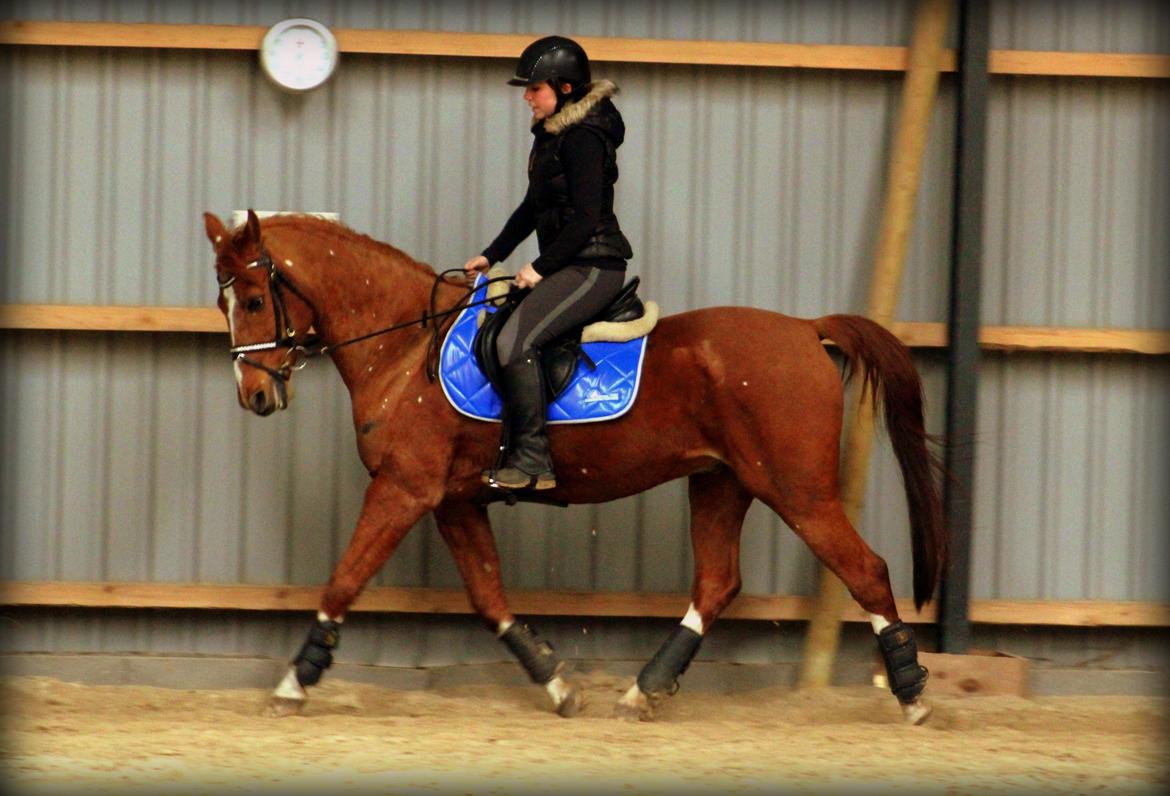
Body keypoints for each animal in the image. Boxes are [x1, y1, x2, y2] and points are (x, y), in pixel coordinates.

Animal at [205, 208, 945, 725]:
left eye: (252, 300)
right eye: (223, 302)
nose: (255, 396)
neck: (406, 348)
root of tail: (805, 329)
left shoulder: (404, 490)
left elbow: (343, 581)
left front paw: (292, 683)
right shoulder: (454, 501)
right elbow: (490, 598)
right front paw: (557, 684)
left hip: (798, 491)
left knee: (866, 571)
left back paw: (912, 696)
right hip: (721, 482)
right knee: (717, 583)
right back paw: (643, 691)